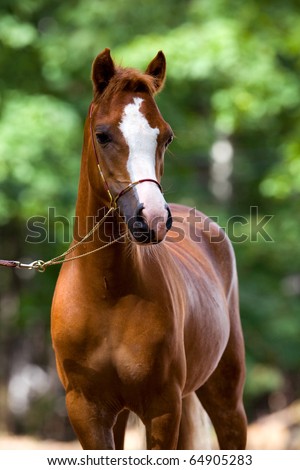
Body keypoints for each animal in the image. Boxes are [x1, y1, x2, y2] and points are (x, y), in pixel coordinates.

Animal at [50, 48, 247, 452]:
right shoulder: (87, 411)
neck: (106, 293)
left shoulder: (162, 408)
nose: (153, 219)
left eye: (166, 138)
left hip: (225, 394)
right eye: (103, 135)